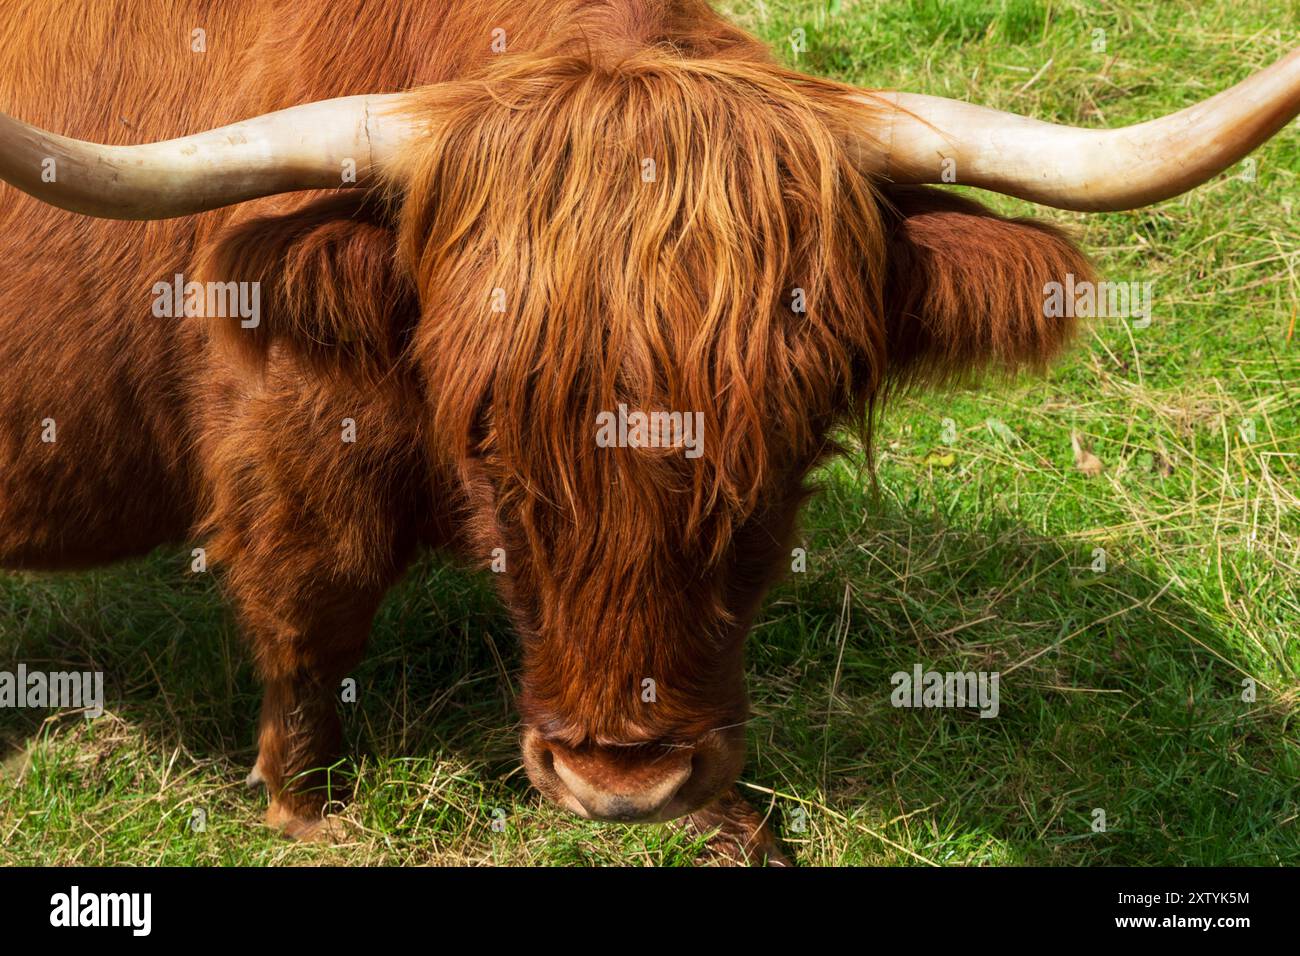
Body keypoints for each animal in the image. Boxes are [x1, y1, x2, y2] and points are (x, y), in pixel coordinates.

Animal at [0, 0, 1296, 864]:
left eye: (791, 443)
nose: (621, 781)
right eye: (488, 438)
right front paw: (304, 812)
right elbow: (310, 628)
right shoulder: (293, 463)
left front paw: (737, 824)